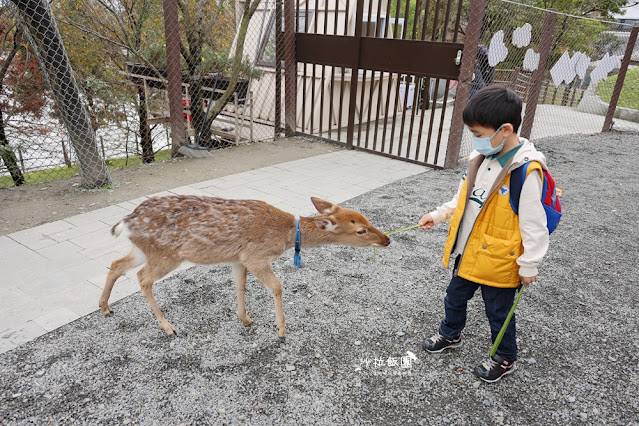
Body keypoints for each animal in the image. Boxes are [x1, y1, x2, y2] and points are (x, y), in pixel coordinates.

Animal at [99, 196, 390, 340]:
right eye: (361, 230)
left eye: (366, 218)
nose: (387, 239)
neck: (285, 235)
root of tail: (126, 222)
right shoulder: (255, 255)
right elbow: (277, 286)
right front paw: (281, 332)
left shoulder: (238, 258)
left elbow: (240, 285)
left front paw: (245, 318)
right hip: (166, 253)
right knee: (142, 277)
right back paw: (168, 327)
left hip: (143, 249)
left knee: (116, 264)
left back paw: (105, 307)